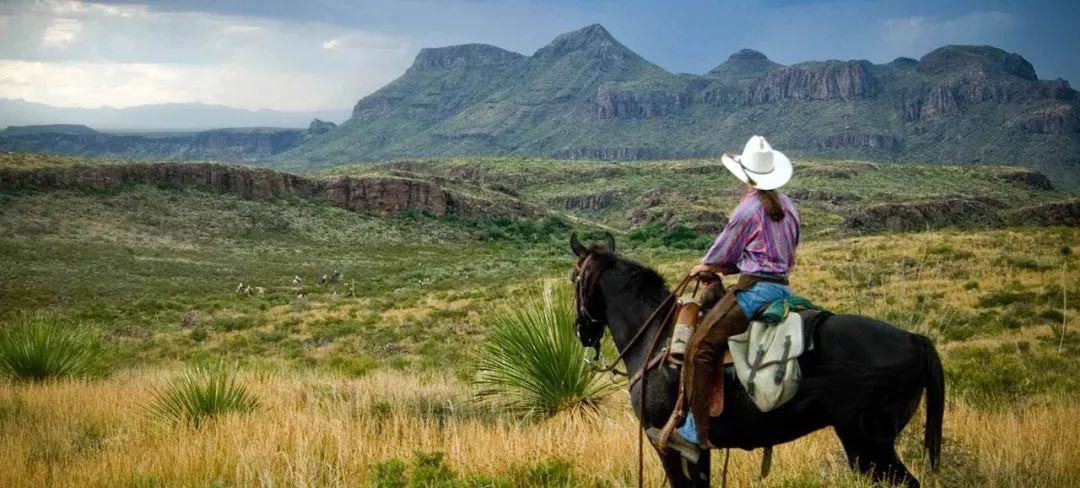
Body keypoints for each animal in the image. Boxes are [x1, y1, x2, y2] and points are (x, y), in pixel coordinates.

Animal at [570, 234, 941, 485]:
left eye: (574, 278)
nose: (582, 331)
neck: (655, 337)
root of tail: (915, 339)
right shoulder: (697, 452)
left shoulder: (665, 443)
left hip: (868, 445)